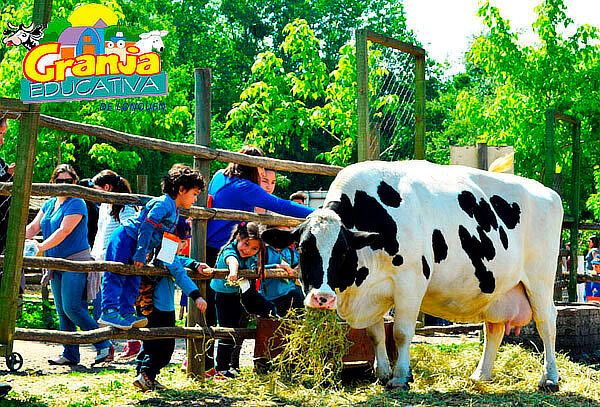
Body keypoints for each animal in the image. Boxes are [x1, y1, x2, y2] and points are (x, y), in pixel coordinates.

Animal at [262, 161, 564, 394]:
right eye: (303, 248)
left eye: (343, 250)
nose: (321, 297)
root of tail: (547, 192)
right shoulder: (372, 291)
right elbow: (375, 334)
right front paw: (382, 373)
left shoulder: (410, 283)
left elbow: (401, 332)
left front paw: (400, 377)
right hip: (497, 289)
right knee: (494, 329)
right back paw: (481, 374)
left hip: (539, 279)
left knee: (546, 323)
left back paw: (549, 378)